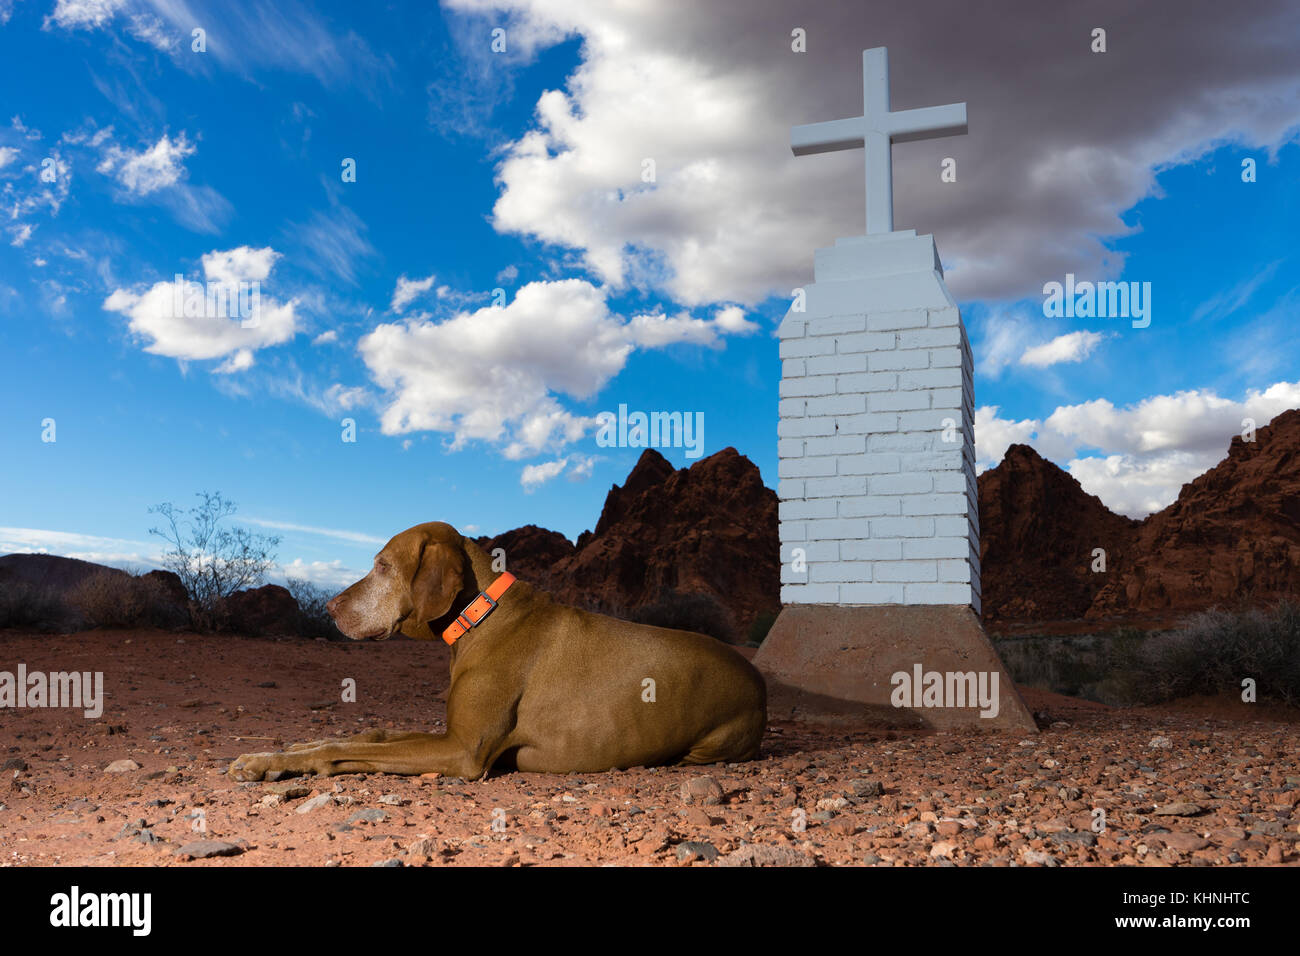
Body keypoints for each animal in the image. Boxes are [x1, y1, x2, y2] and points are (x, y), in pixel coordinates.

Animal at [228, 520, 764, 780]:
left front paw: (266, 762)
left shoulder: (462, 751)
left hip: (713, 743)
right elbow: (371, 734)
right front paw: (285, 749)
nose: (330, 607)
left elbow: (345, 749)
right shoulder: (450, 733)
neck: (480, 614)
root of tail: (759, 678)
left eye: (382, 565)